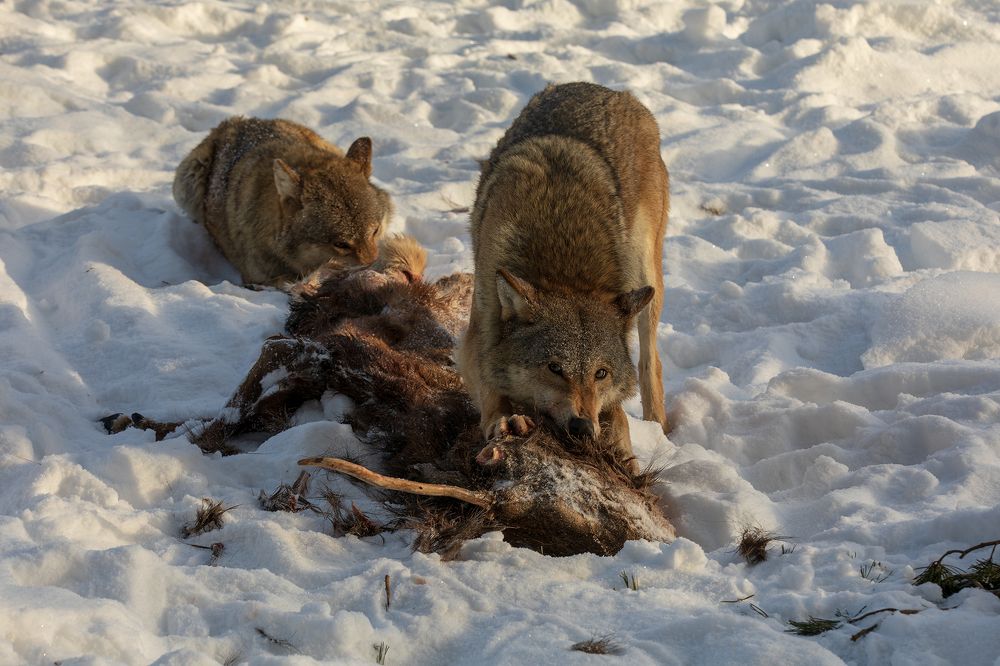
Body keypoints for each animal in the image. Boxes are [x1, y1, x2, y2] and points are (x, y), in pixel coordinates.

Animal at [172, 116, 392, 286]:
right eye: (341, 244)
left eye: (375, 231)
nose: (373, 265)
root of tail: (232, 122)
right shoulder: (258, 278)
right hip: (187, 180)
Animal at [458, 82, 669, 466]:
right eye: (554, 368)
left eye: (600, 373)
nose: (582, 428)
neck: (564, 272)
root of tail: (613, 91)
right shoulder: (480, 329)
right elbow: (490, 383)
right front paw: (503, 418)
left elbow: (618, 415)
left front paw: (625, 456)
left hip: (646, 277)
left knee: (651, 361)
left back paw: (658, 427)